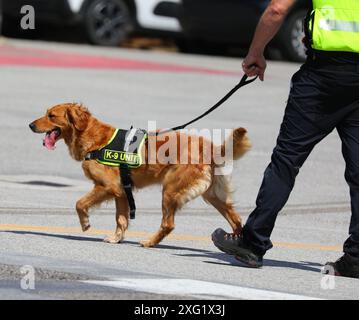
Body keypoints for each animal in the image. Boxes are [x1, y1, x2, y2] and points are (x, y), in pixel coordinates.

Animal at [29, 103, 252, 248]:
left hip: (169, 190)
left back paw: (150, 242)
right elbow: (121, 220)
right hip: (212, 196)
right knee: (236, 219)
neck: (93, 138)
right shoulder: (121, 192)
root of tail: (209, 147)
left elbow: (80, 203)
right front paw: (116, 239)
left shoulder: (107, 187)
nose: (30, 125)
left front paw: (85, 224)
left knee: (168, 224)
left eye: (51, 116)